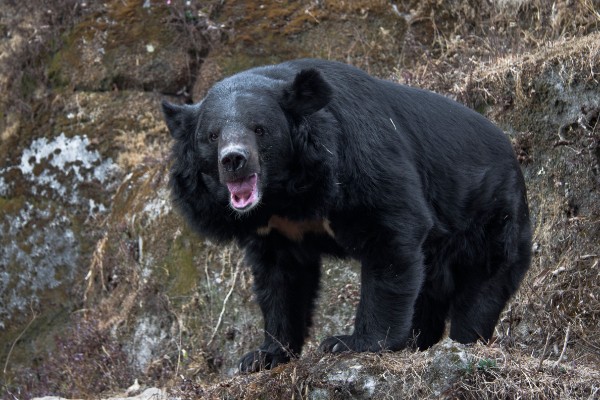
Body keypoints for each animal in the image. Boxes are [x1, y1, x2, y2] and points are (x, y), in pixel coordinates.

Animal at [162, 57, 532, 374]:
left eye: (259, 129)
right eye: (212, 135)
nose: (233, 160)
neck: (283, 195)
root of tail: (512, 154)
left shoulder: (358, 161)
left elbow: (392, 233)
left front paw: (352, 343)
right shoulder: (275, 230)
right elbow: (280, 280)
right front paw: (263, 355)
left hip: (491, 220)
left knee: (480, 291)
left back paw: (462, 341)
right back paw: (416, 342)